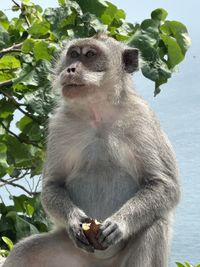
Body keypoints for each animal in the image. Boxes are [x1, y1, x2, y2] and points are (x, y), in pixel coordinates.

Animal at [2, 33, 181, 267]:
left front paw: (119, 224)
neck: (97, 113)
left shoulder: (142, 120)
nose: (71, 69)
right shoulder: (60, 124)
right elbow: (53, 184)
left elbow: (164, 184)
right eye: (73, 54)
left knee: (155, 224)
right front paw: (73, 220)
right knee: (24, 251)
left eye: (89, 55)